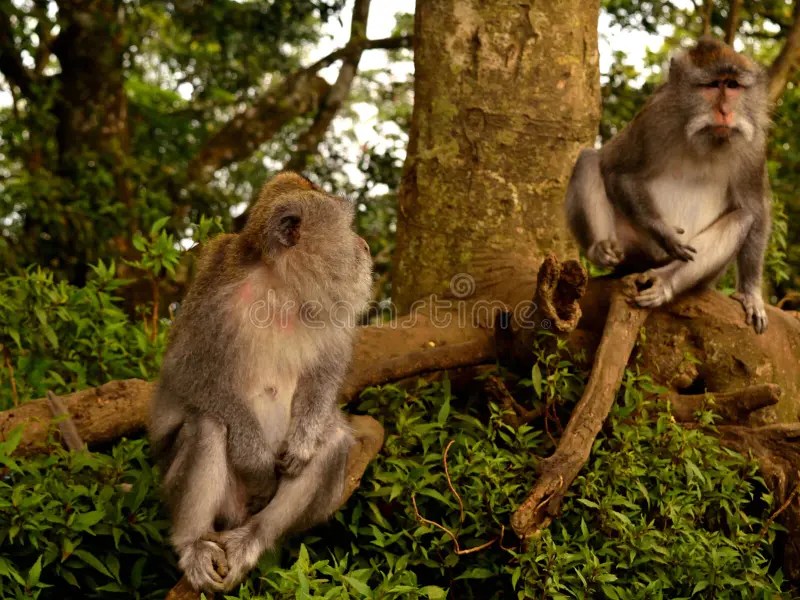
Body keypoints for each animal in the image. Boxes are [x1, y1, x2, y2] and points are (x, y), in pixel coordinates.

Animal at [148, 172, 373, 592]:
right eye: (348, 228)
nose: (365, 245)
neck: (280, 288)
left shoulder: (329, 311)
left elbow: (325, 375)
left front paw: (303, 441)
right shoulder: (215, 298)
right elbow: (186, 371)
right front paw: (253, 457)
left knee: (332, 442)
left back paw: (252, 538)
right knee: (208, 424)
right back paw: (192, 544)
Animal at [565, 37, 771, 333]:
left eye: (732, 86)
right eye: (712, 86)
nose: (724, 112)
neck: (706, 137)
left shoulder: (754, 147)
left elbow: (754, 210)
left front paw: (751, 293)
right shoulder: (654, 118)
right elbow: (619, 172)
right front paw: (663, 231)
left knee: (742, 218)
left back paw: (665, 281)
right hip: (632, 246)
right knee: (589, 160)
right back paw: (600, 248)